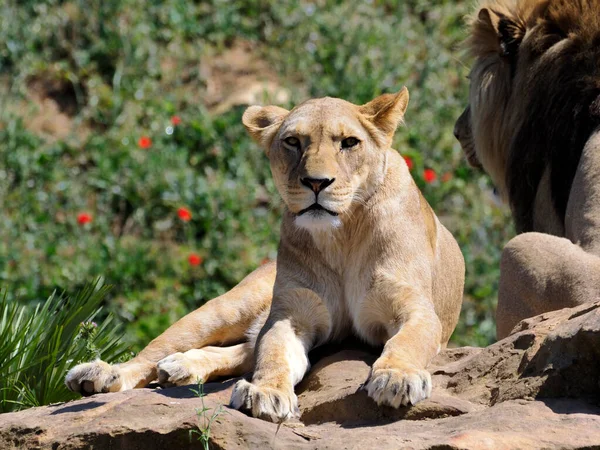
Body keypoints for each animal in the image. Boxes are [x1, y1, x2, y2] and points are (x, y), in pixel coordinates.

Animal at [67, 89, 464, 422]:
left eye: (349, 143)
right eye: (293, 142)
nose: (316, 182)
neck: (342, 236)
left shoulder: (415, 309)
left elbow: (406, 341)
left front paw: (397, 377)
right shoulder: (292, 314)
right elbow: (273, 354)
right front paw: (267, 393)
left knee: (244, 349)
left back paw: (180, 366)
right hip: (229, 307)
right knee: (161, 351)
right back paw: (102, 374)